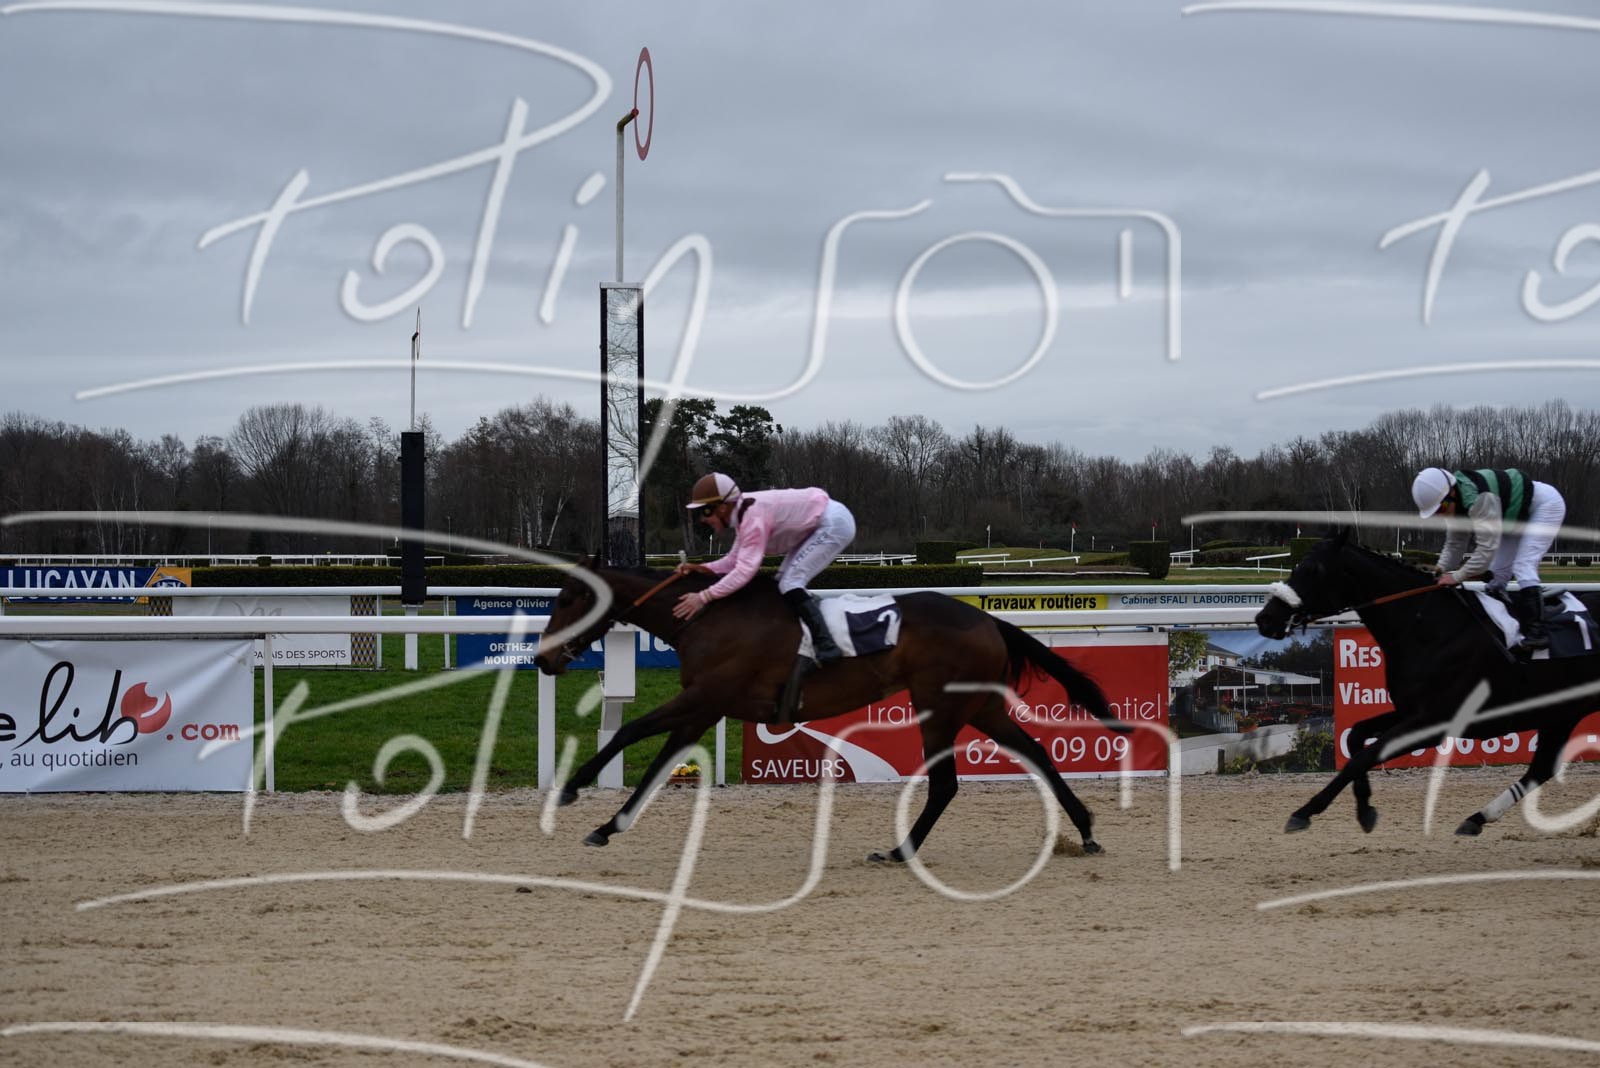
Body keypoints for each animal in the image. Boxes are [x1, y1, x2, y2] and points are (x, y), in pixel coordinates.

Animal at [532, 559, 1127, 861]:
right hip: (978, 705)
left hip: (937, 705)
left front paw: (570, 790)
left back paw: (901, 850)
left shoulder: (703, 696)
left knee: (946, 783)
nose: (542, 658)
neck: (706, 617)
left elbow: (630, 729)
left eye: (568, 599)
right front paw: (608, 825)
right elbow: (656, 763)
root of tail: (987, 619)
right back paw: (1085, 830)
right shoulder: (705, 706)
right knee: (1037, 752)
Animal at [1255, 530, 1600, 836]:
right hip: (1560, 712)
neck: (1429, 628)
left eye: (1314, 570)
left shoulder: (1435, 722)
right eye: (1295, 565)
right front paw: (1365, 808)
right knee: (1541, 768)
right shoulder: (1410, 711)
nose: (1265, 618)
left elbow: (1365, 756)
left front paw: (1305, 811)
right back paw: (1476, 819)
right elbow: (1356, 737)